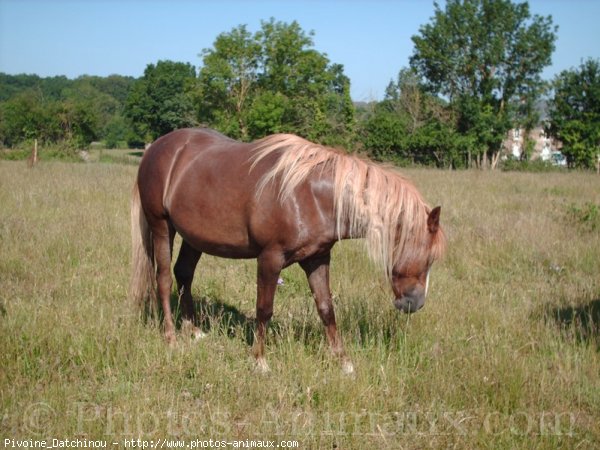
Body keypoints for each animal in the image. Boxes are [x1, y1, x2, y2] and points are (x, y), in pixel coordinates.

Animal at [130, 126, 446, 372]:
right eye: (428, 255)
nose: (414, 304)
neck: (313, 195)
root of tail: (156, 148)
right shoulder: (270, 258)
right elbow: (264, 309)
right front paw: (259, 361)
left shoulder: (317, 259)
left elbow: (326, 308)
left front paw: (343, 362)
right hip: (161, 226)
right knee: (163, 279)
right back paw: (171, 338)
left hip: (193, 237)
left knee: (184, 274)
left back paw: (194, 332)